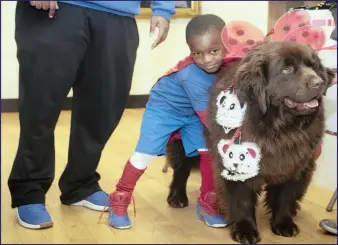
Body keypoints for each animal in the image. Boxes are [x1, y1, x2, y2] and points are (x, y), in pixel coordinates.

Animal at [164, 41, 336, 244]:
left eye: (313, 66)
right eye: (287, 69)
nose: (319, 83)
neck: (279, 129)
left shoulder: (296, 163)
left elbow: (286, 196)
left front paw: (283, 223)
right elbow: (241, 200)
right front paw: (245, 229)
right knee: (181, 170)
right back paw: (177, 197)